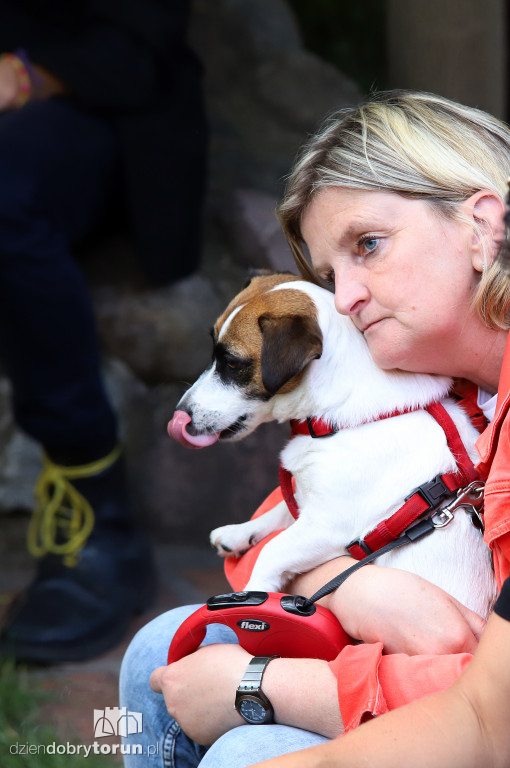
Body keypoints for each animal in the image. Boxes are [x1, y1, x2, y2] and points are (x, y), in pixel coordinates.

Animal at [168, 272, 498, 616]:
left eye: (232, 363)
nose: (181, 413)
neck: (334, 416)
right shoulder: (311, 505)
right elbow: (282, 510)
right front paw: (241, 532)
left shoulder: (328, 526)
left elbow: (273, 549)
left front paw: (251, 595)